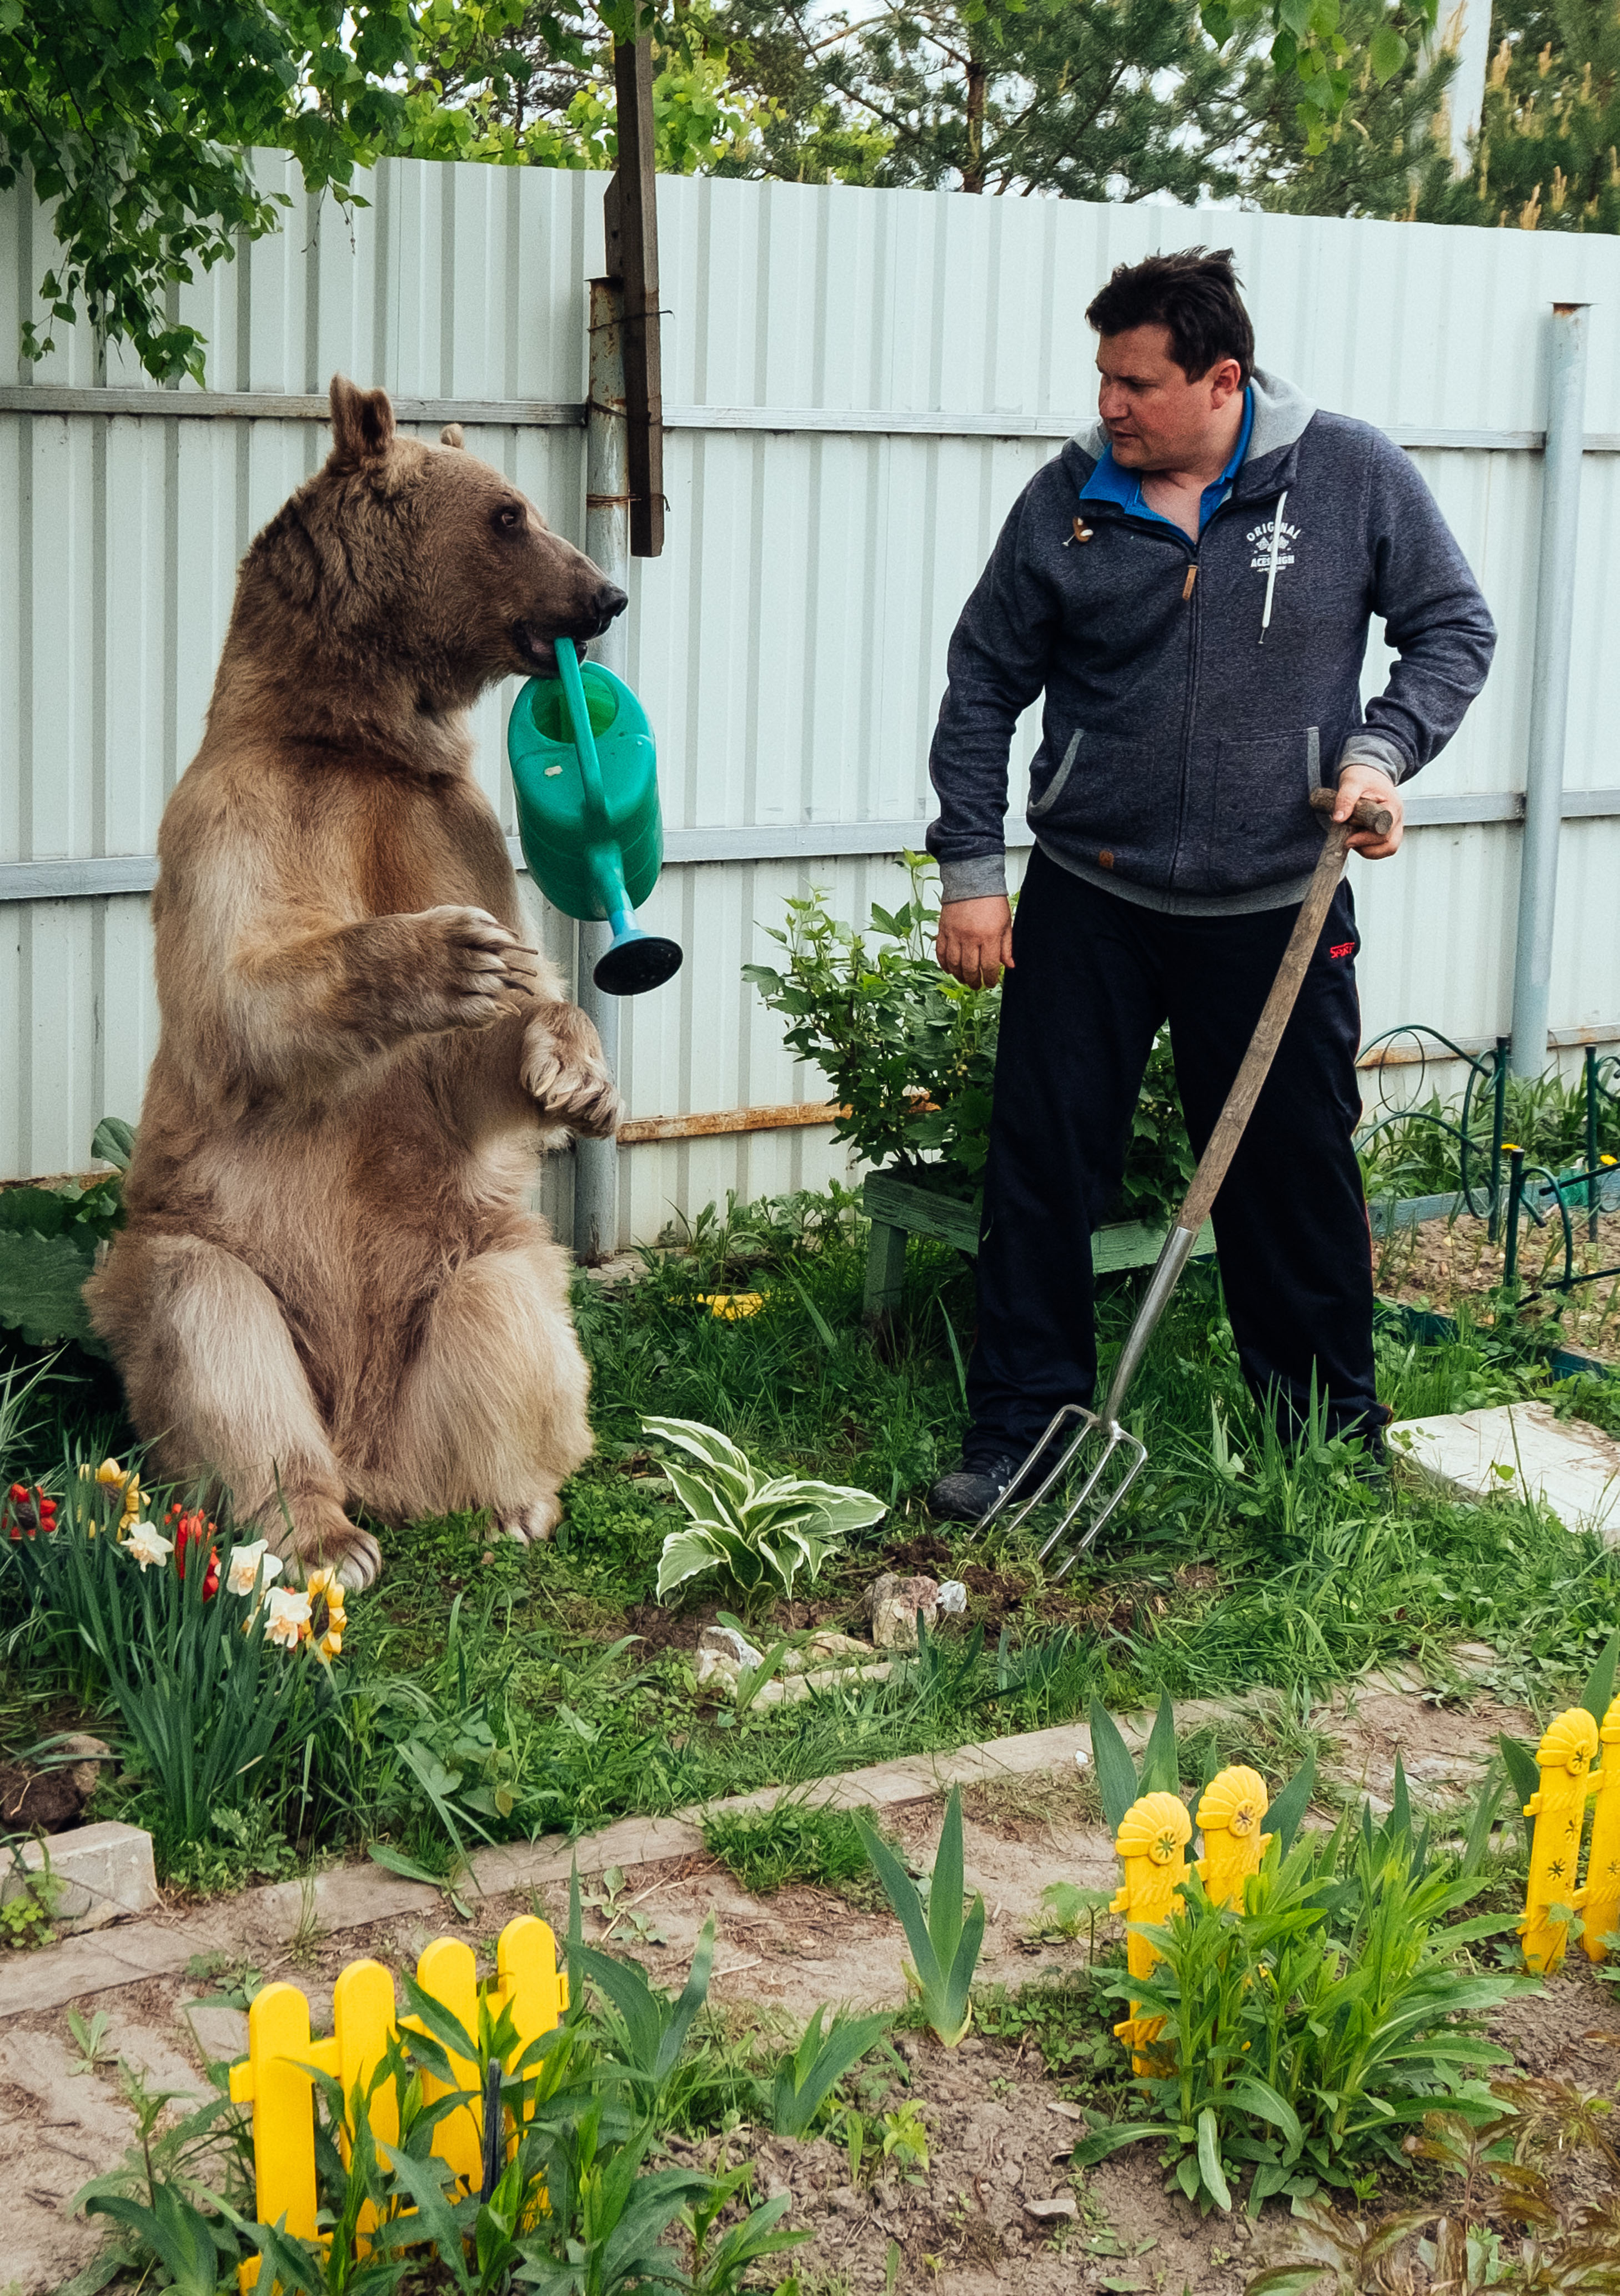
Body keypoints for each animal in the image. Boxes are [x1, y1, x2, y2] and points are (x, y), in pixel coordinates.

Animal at [86, 381, 624, 1598]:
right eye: (510, 515)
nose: (607, 595)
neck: (356, 734)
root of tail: (369, 1439)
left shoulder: (448, 824)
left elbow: (481, 1055)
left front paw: (572, 1066)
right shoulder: (245, 813)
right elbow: (236, 994)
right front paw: (445, 957)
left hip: (462, 1253)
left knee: (512, 1312)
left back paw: (513, 1500)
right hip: (204, 1255)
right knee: (215, 1337)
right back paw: (318, 1532)